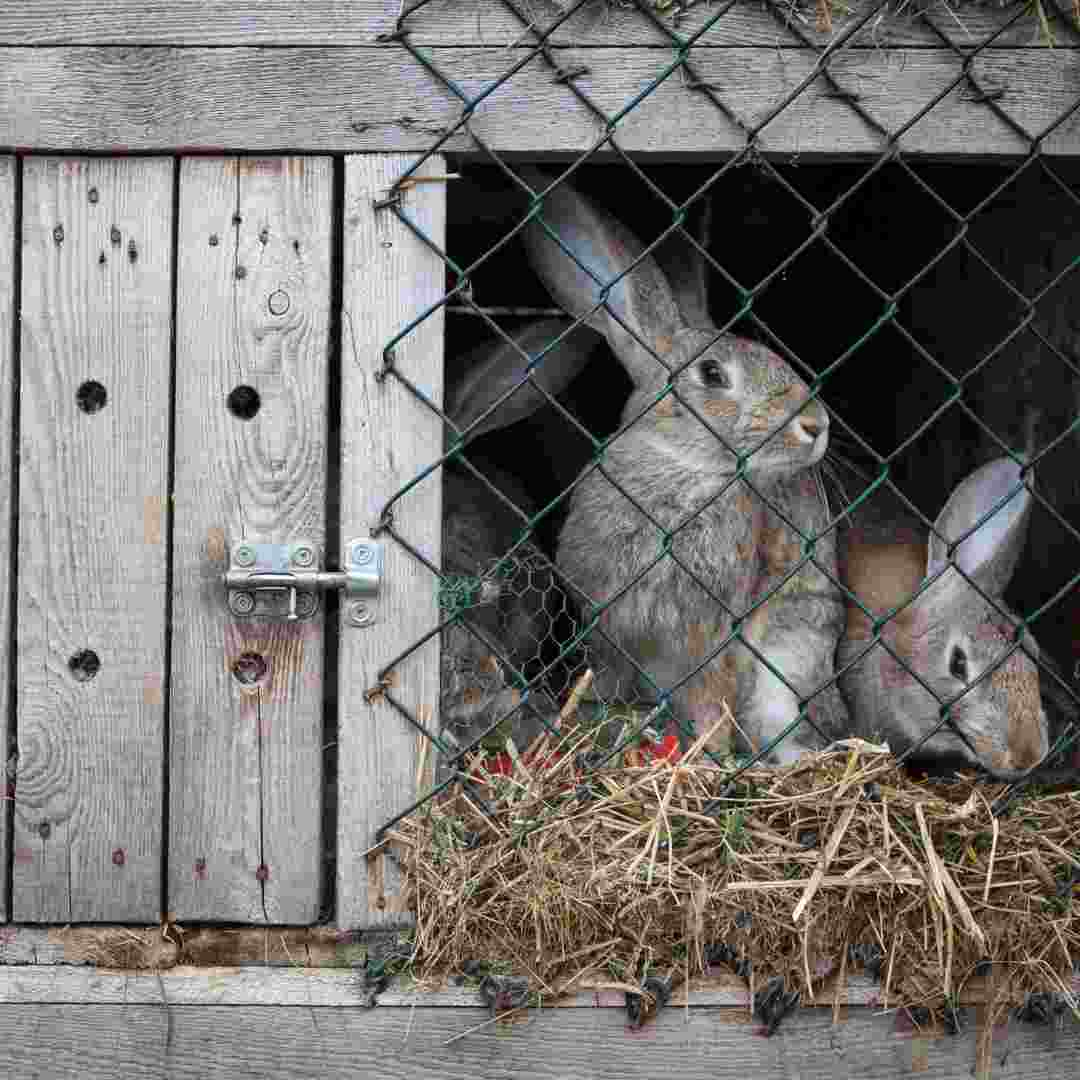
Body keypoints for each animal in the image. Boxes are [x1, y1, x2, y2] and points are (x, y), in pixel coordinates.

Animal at [483, 168, 851, 760]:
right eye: (713, 375)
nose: (817, 426)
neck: (680, 465)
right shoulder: (610, 631)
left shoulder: (714, 636)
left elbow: (713, 698)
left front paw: (708, 755)